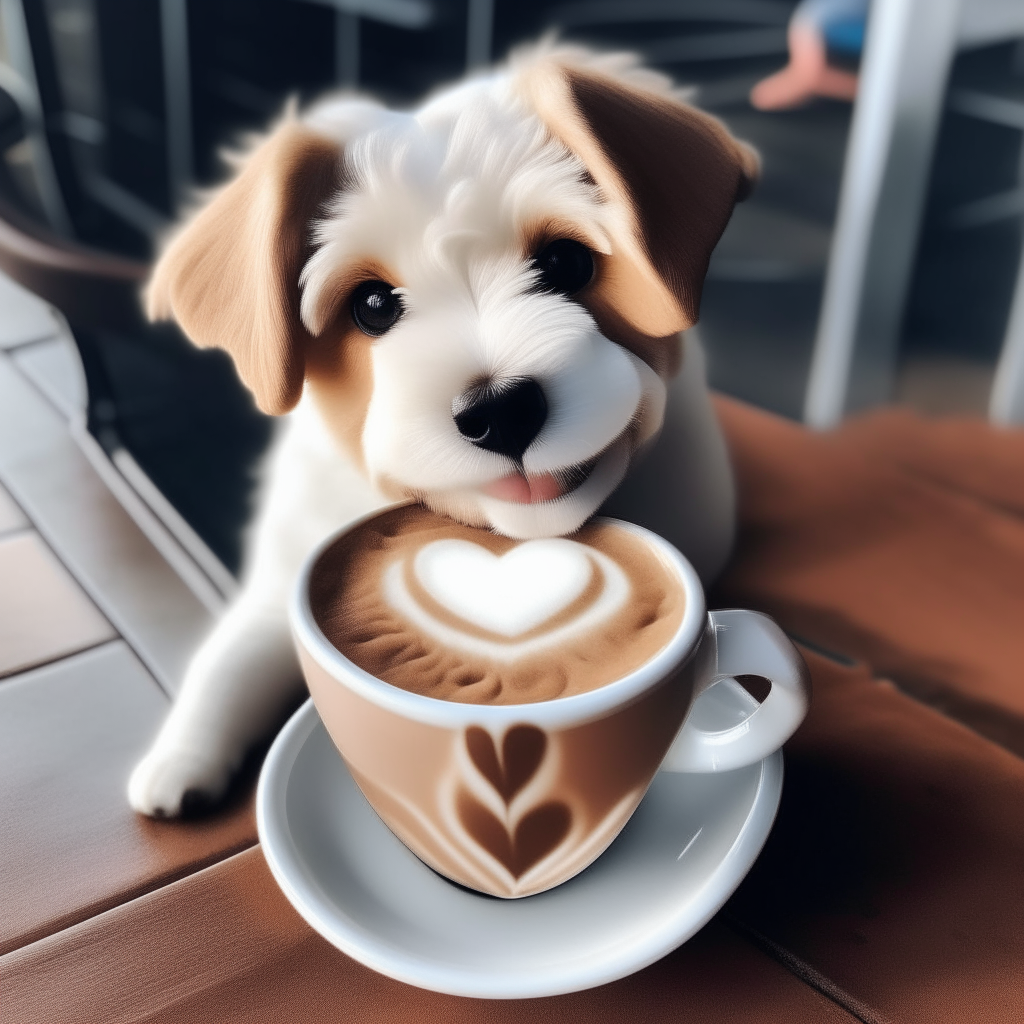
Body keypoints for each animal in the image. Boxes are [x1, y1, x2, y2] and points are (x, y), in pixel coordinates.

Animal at [128, 46, 757, 815]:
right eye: (372, 305)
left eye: (566, 262)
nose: (500, 410)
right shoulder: (285, 576)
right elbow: (233, 655)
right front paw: (180, 754)